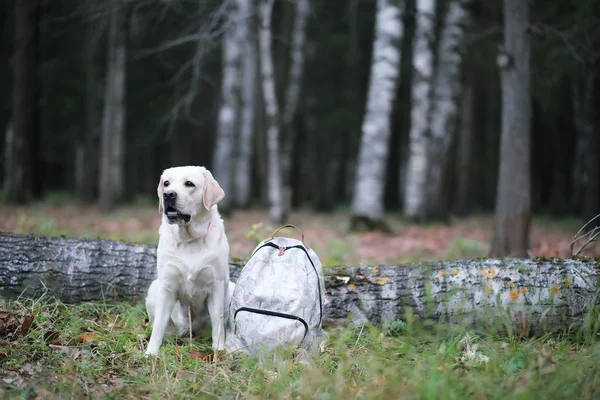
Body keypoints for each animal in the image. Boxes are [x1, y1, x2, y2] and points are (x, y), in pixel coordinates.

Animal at [145, 166, 232, 356]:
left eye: (189, 184)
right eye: (166, 183)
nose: (168, 195)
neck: (189, 239)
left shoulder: (216, 285)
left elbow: (218, 324)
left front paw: (219, 352)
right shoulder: (167, 286)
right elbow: (158, 327)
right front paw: (150, 354)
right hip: (154, 287)